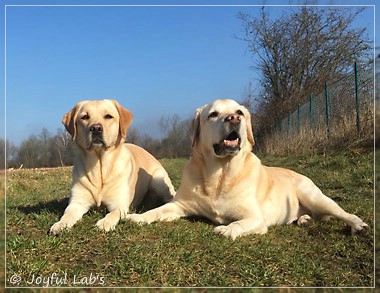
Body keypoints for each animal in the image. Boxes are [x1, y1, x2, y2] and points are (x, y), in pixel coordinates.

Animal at [49, 99, 175, 234]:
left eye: (108, 116)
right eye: (84, 117)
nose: (96, 128)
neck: (99, 166)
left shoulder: (119, 205)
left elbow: (113, 214)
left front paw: (105, 223)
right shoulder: (77, 203)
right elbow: (67, 214)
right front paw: (60, 224)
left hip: (158, 180)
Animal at [124, 98, 368, 240]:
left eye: (239, 112)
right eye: (213, 114)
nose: (233, 118)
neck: (219, 175)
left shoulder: (255, 217)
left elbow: (240, 223)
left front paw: (227, 229)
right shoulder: (179, 206)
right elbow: (157, 211)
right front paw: (139, 217)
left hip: (314, 196)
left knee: (344, 213)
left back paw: (358, 225)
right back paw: (304, 219)